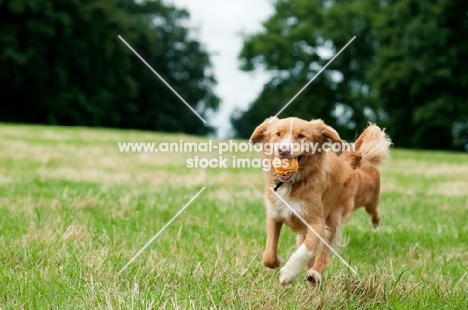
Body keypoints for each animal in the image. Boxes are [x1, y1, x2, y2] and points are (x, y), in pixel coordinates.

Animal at [249, 117, 392, 284]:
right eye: (278, 134)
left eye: (301, 136)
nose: (283, 150)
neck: (293, 183)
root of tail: (345, 165)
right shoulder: (274, 216)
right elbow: (269, 256)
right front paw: (278, 261)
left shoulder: (317, 222)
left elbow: (308, 248)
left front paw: (289, 272)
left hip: (336, 216)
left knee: (324, 251)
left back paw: (314, 273)